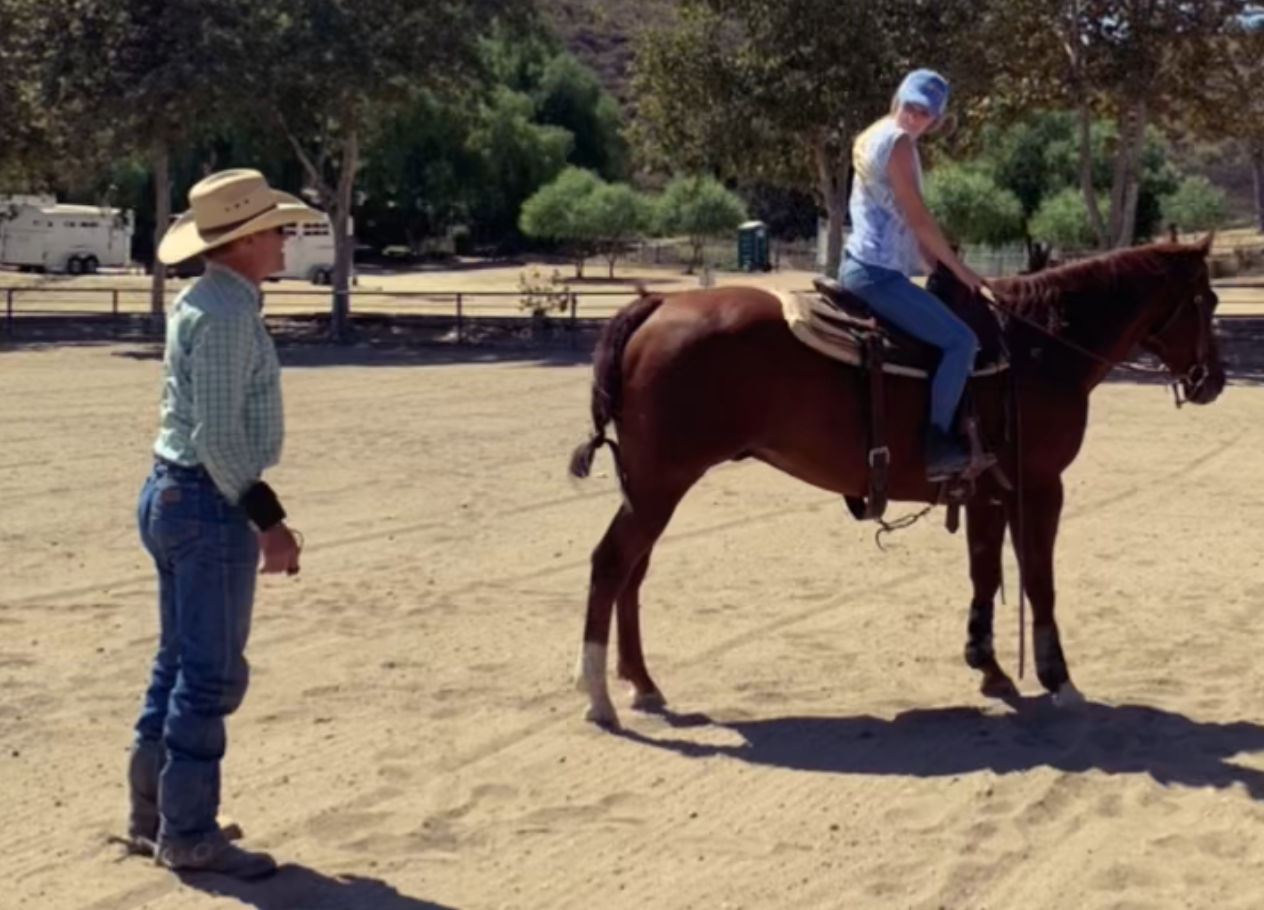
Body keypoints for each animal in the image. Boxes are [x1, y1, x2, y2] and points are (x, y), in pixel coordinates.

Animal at [566, 236, 1226, 728]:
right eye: (1210, 300)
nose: (1213, 381)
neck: (1037, 349)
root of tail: (656, 305)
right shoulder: (1040, 486)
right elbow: (1040, 580)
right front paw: (1058, 679)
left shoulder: (987, 491)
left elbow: (985, 571)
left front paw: (988, 666)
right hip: (661, 484)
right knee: (610, 563)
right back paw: (598, 695)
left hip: (651, 485)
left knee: (633, 572)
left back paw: (642, 684)